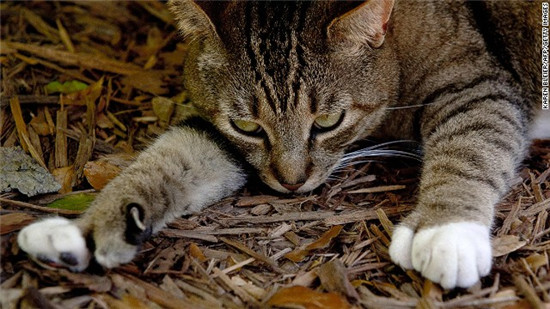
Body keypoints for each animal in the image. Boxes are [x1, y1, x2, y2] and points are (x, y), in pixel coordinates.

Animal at [18, 0, 548, 288]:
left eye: (328, 120)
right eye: (248, 126)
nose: (291, 183)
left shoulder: (477, 84)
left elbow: (471, 147)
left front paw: (446, 231)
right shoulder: (220, 134)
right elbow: (171, 157)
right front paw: (87, 230)